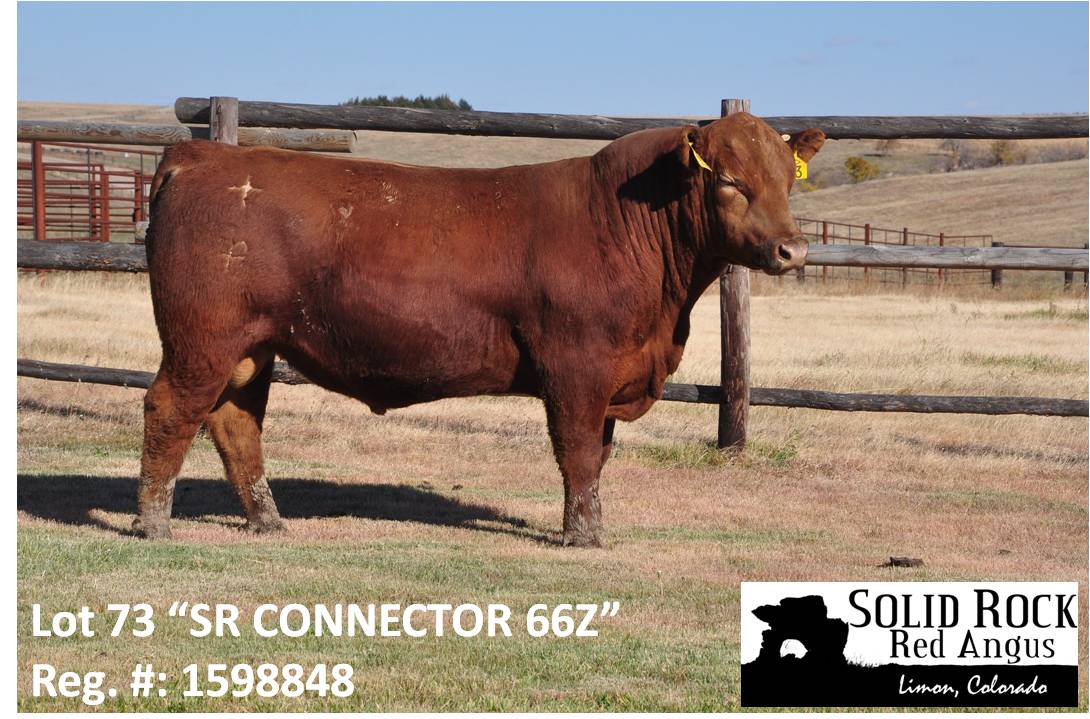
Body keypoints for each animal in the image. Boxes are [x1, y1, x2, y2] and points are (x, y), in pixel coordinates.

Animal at [136, 112, 825, 546]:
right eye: (730, 181)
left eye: (786, 180)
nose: (792, 250)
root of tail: (206, 154)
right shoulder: (577, 367)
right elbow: (578, 454)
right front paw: (584, 536)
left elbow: (598, 456)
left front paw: (589, 527)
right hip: (202, 338)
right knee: (170, 408)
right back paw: (154, 523)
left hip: (250, 349)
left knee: (235, 423)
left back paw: (268, 521)